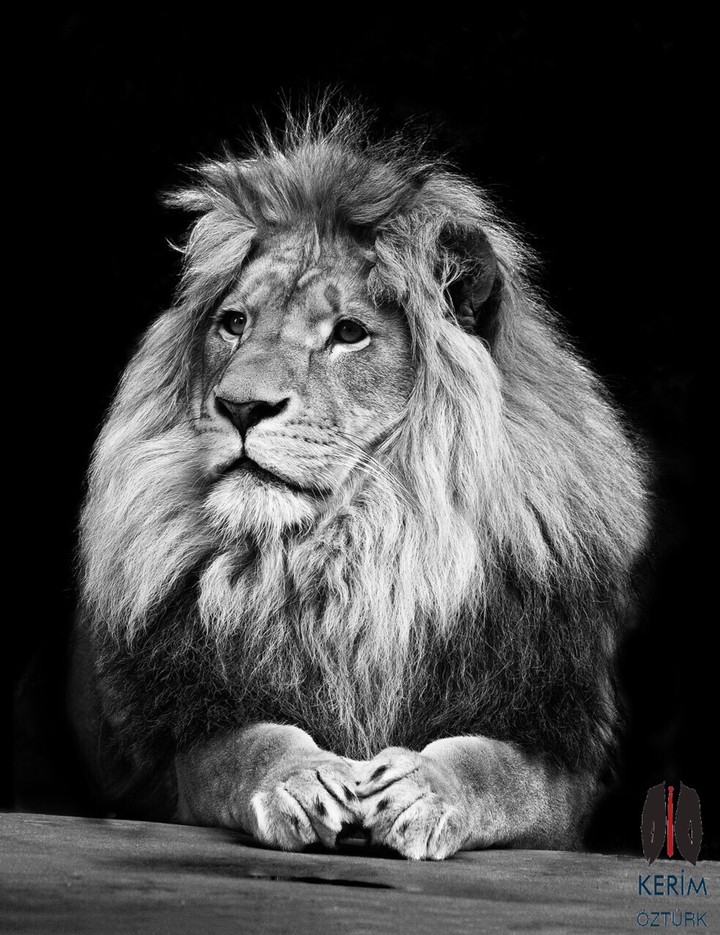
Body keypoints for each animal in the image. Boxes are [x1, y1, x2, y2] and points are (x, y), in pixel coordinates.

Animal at [68, 104, 649, 860]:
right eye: (234, 324)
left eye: (349, 333)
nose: (240, 406)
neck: (358, 553)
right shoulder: (183, 739)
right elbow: (244, 746)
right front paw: (298, 778)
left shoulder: (558, 751)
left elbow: (497, 769)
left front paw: (426, 788)